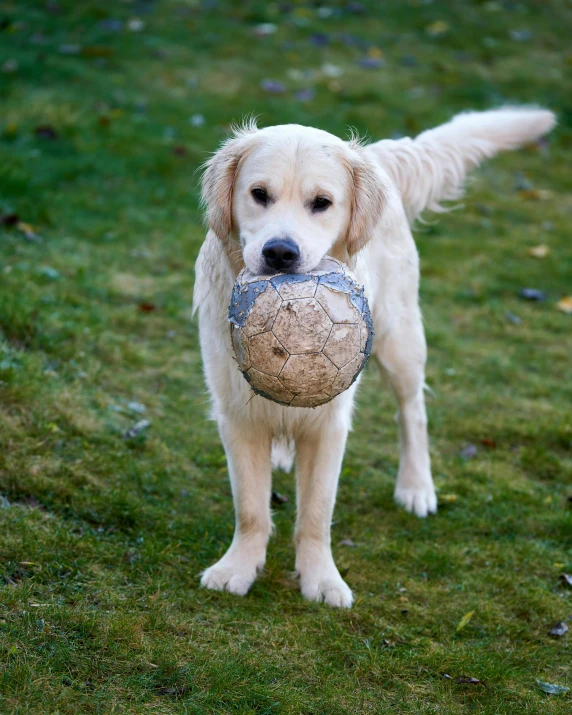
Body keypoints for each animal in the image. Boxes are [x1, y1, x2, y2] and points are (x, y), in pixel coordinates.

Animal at [192, 107, 556, 608]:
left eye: (322, 203)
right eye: (258, 194)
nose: (280, 253)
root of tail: (375, 155)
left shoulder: (330, 421)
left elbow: (316, 513)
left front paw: (321, 579)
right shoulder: (235, 412)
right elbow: (250, 508)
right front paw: (238, 569)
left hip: (400, 340)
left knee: (413, 412)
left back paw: (416, 487)